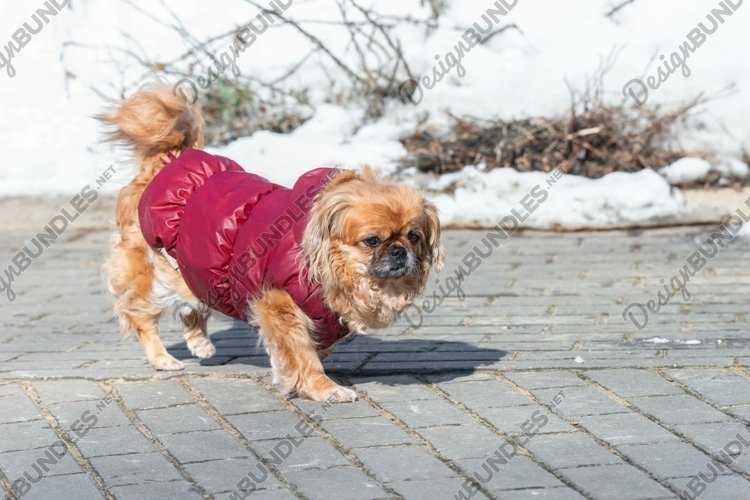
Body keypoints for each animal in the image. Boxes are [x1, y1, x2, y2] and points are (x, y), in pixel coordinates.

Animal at [97, 83, 444, 402]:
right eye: (372, 241)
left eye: (413, 237)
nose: (399, 251)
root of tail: (167, 162)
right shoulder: (279, 305)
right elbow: (302, 353)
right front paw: (323, 388)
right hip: (153, 273)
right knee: (139, 313)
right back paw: (162, 358)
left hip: (193, 270)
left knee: (192, 305)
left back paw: (200, 343)